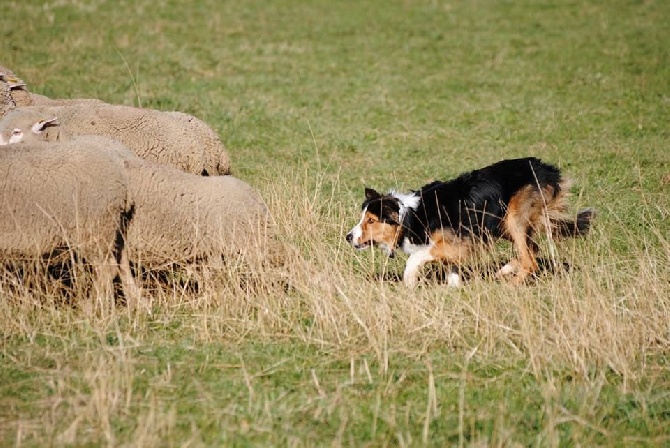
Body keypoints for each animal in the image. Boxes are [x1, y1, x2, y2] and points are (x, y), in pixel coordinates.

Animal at [0, 136, 140, 304]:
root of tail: (120, 171)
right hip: (116, 228)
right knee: (123, 264)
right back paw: (137, 304)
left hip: (95, 228)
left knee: (107, 268)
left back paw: (91, 305)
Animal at [350, 158, 596, 288]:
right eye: (363, 219)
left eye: (370, 221)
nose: (348, 236)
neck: (410, 216)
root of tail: (547, 169)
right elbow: (451, 270)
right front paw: (454, 289)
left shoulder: (457, 242)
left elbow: (416, 257)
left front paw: (409, 279)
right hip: (500, 223)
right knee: (532, 249)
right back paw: (504, 271)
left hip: (513, 218)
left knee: (531, 261)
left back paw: (510, 284)